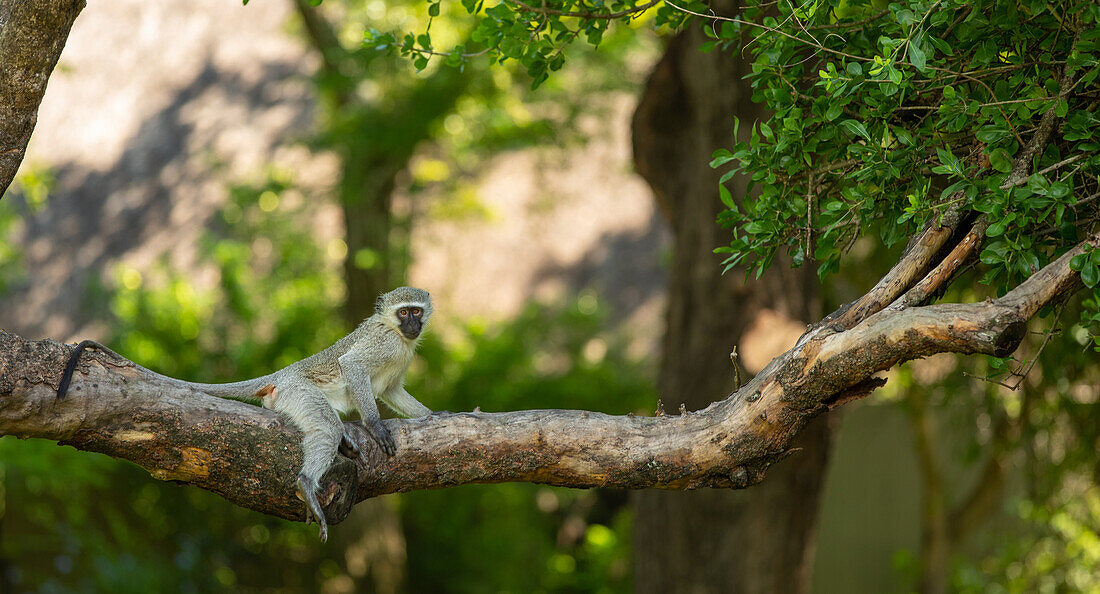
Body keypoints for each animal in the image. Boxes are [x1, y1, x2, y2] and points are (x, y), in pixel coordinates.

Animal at [55, 286, 433, 541]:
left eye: (417, 312)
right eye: (403, 313)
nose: (413, 325)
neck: (398, 336)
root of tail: (283, 374)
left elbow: (390, 390)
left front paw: (436, 414)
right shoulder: (381, 344)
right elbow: (352, 366)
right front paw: (375, 425)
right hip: (299, 391)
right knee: (326, 425)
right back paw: (308, 482)